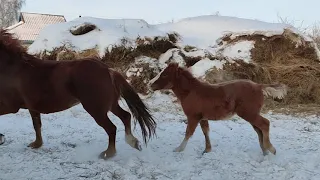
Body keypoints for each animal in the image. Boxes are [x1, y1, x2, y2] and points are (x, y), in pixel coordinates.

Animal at [0, 29, 156, 159]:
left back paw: (108, 153)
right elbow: (36, 125)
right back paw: (133, 142)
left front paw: (2, 138)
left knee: (112, 127)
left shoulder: (12, 106)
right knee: (126, 116)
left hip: (96, 109)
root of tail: (108, 70)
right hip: (110, 105)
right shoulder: (32, 108)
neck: (14, 68)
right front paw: (36, 144)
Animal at [150, 62, 288, 155]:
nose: (151, 85)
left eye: (165, 75)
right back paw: (265, 151)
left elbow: (188, 132)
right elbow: (206, 131)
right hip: (251, 114)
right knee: (259, 129)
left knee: (265, 124)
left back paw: (271, 149)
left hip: (249, 113)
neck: (191, 92)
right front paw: (207, 150)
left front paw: (179, 149)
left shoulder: (193, 116)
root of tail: (259, 86)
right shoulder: (202, 117)